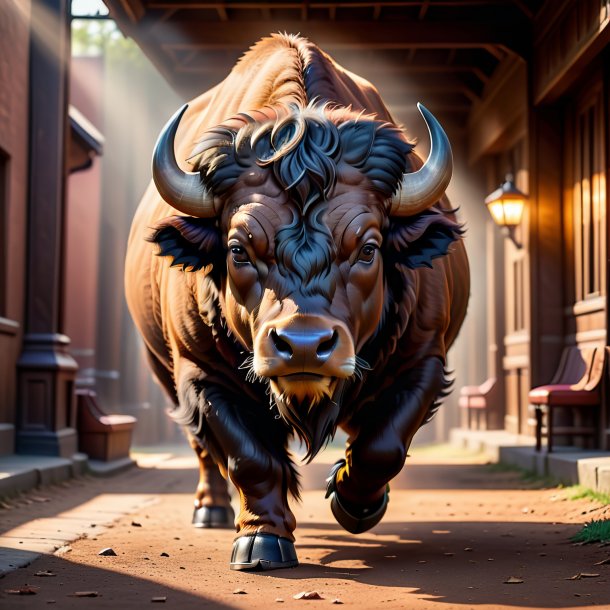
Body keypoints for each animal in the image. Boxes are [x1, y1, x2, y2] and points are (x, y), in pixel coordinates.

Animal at [122, 32, 466, 564]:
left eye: (369, 248)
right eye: (238, 249)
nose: (303, 346)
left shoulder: (423, 360)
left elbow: (382, 446)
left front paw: (353, 503)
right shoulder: (202, 373)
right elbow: (248, 457)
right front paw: (261, 539)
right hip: (163, 368)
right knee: (201, 446)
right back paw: (211, 509)